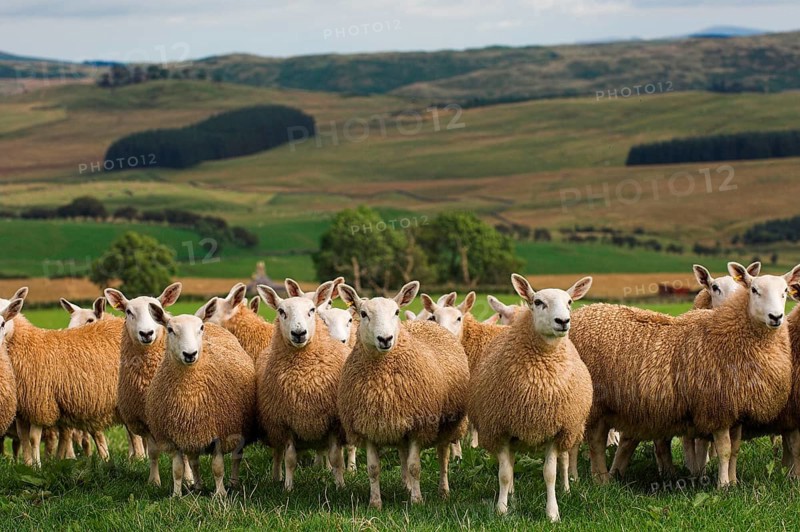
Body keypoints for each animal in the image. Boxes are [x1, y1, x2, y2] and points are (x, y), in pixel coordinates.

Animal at [146, 300, 256, 497]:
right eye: (170, 329)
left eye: (200, 328)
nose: (190, 354)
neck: (189, 394)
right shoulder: (173, 437)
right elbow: (178, 469)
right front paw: (176, 495)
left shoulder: (220, 433)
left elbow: (218, 468)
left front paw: (220, 495)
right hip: (193, 433)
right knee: (194, 461)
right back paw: (197, 486)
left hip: (238, 428)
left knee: (236, 456)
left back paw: (234, 483)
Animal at [256, 280, 350, 490]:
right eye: (281, 311)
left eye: (311, 310)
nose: (299, 333)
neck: (303, 378)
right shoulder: (285, 422)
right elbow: (290, 459)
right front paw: (288, 487)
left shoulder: (333, 422)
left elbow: (336, 458)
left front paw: (340, 484)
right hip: (273, 427)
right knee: (277, 454)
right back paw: (276, 477)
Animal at [337, 281, 469, 508]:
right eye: (363, 313)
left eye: (396, 312)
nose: (385, 339)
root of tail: (427, 323)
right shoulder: (368, 426)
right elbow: (373, 469)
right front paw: (375, 503)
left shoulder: (419, 424)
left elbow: (415, 466)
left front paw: (417, 501)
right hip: (399, 424)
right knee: (402, 454)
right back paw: (406, 485)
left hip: (447, 424)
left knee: (442, 456)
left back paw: (443, 491)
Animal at [468, 274, 593, 521]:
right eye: (537, 302)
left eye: (569, 302)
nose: (563, 321)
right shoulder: (501, 429)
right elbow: (505, 473)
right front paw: (502, 508)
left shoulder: (556, 430)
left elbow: (550, 473)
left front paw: (552, 512)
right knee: (511, 464)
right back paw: (512, 493)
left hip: (570, 430)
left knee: (565, 461)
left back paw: (566, 489)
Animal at [571, 262, 799, 487]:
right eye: (754, 290)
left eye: (785, 292)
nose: (776, 317)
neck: (731, 334)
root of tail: (582, 313)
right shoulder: (716, 409)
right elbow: (723, 450)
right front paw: (723, 486)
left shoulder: (736, 411)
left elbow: (734, 450)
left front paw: (733, 482)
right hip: (593, 404)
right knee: (595, 443)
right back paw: (598, 480)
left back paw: (606, 478)